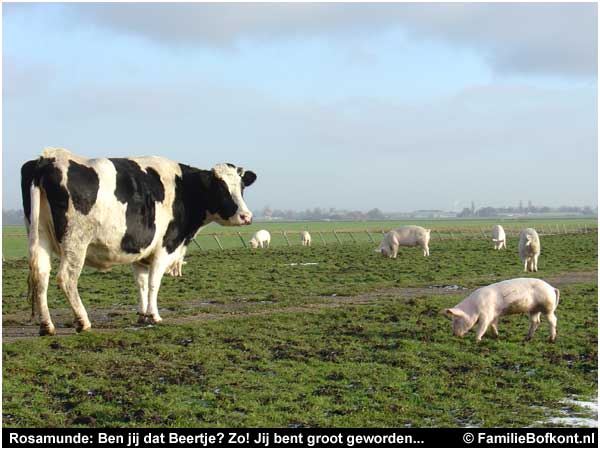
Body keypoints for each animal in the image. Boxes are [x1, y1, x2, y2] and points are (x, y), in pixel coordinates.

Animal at [19, 148, 255, 334]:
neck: (185, 188)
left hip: (40, 236)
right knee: (67, 278)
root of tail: (49, 157)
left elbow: (141, 283)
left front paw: (142, 315)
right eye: (221, 188)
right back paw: (82, 321)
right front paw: (154, 316)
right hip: (75, 242)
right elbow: (153, 282)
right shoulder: (165, 247)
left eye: (242, 187)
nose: (246, 216)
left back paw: (47, 326)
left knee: (41, 276)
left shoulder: (140, 251)